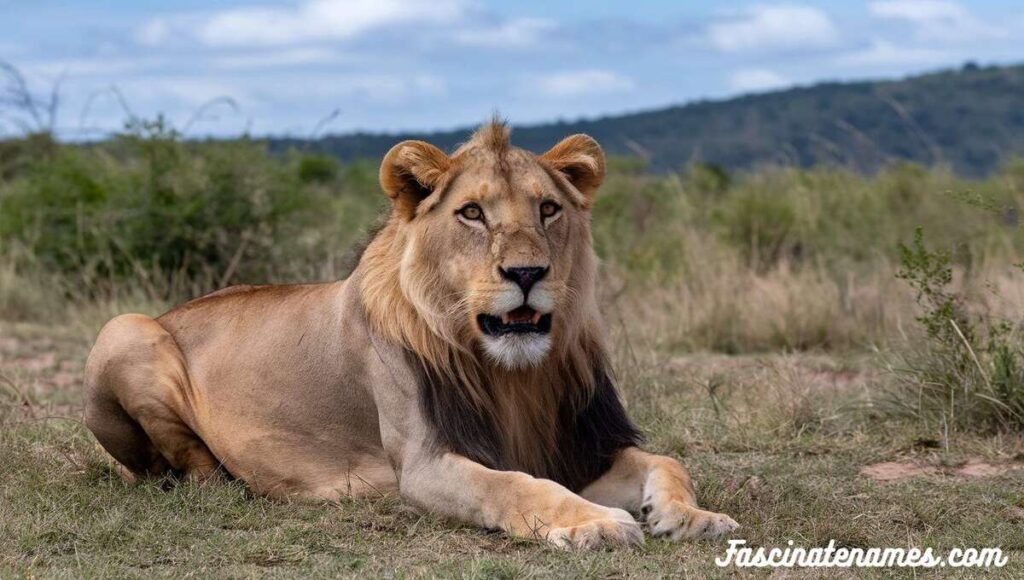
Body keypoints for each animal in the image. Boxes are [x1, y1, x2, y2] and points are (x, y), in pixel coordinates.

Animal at [79, 121, 737, 549]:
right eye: (472, 213)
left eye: (548, 209)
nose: (527, 273)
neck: (513, 375)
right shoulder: (425, 464)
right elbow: (515, 485)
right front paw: (592, 523)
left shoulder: (578, 446)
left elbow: (668, 460)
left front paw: (692, 516)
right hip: (123, 328)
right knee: (182, 468)